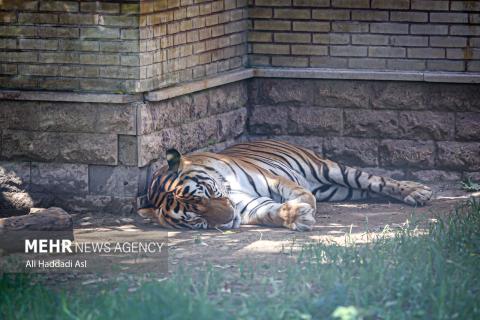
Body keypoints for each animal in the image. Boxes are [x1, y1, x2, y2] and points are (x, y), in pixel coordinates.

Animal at [138, 139, 432, 231]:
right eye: (196, 220)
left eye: (207, 193)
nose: (229, 218)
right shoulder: (248, 205)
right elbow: (269, 212)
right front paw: (296, 217)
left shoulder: (273, 179)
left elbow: (302, 194)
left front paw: (305, 208)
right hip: (340, 190)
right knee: (366, 189)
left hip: (331, 170)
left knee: (377, 180)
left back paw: (418, 191)